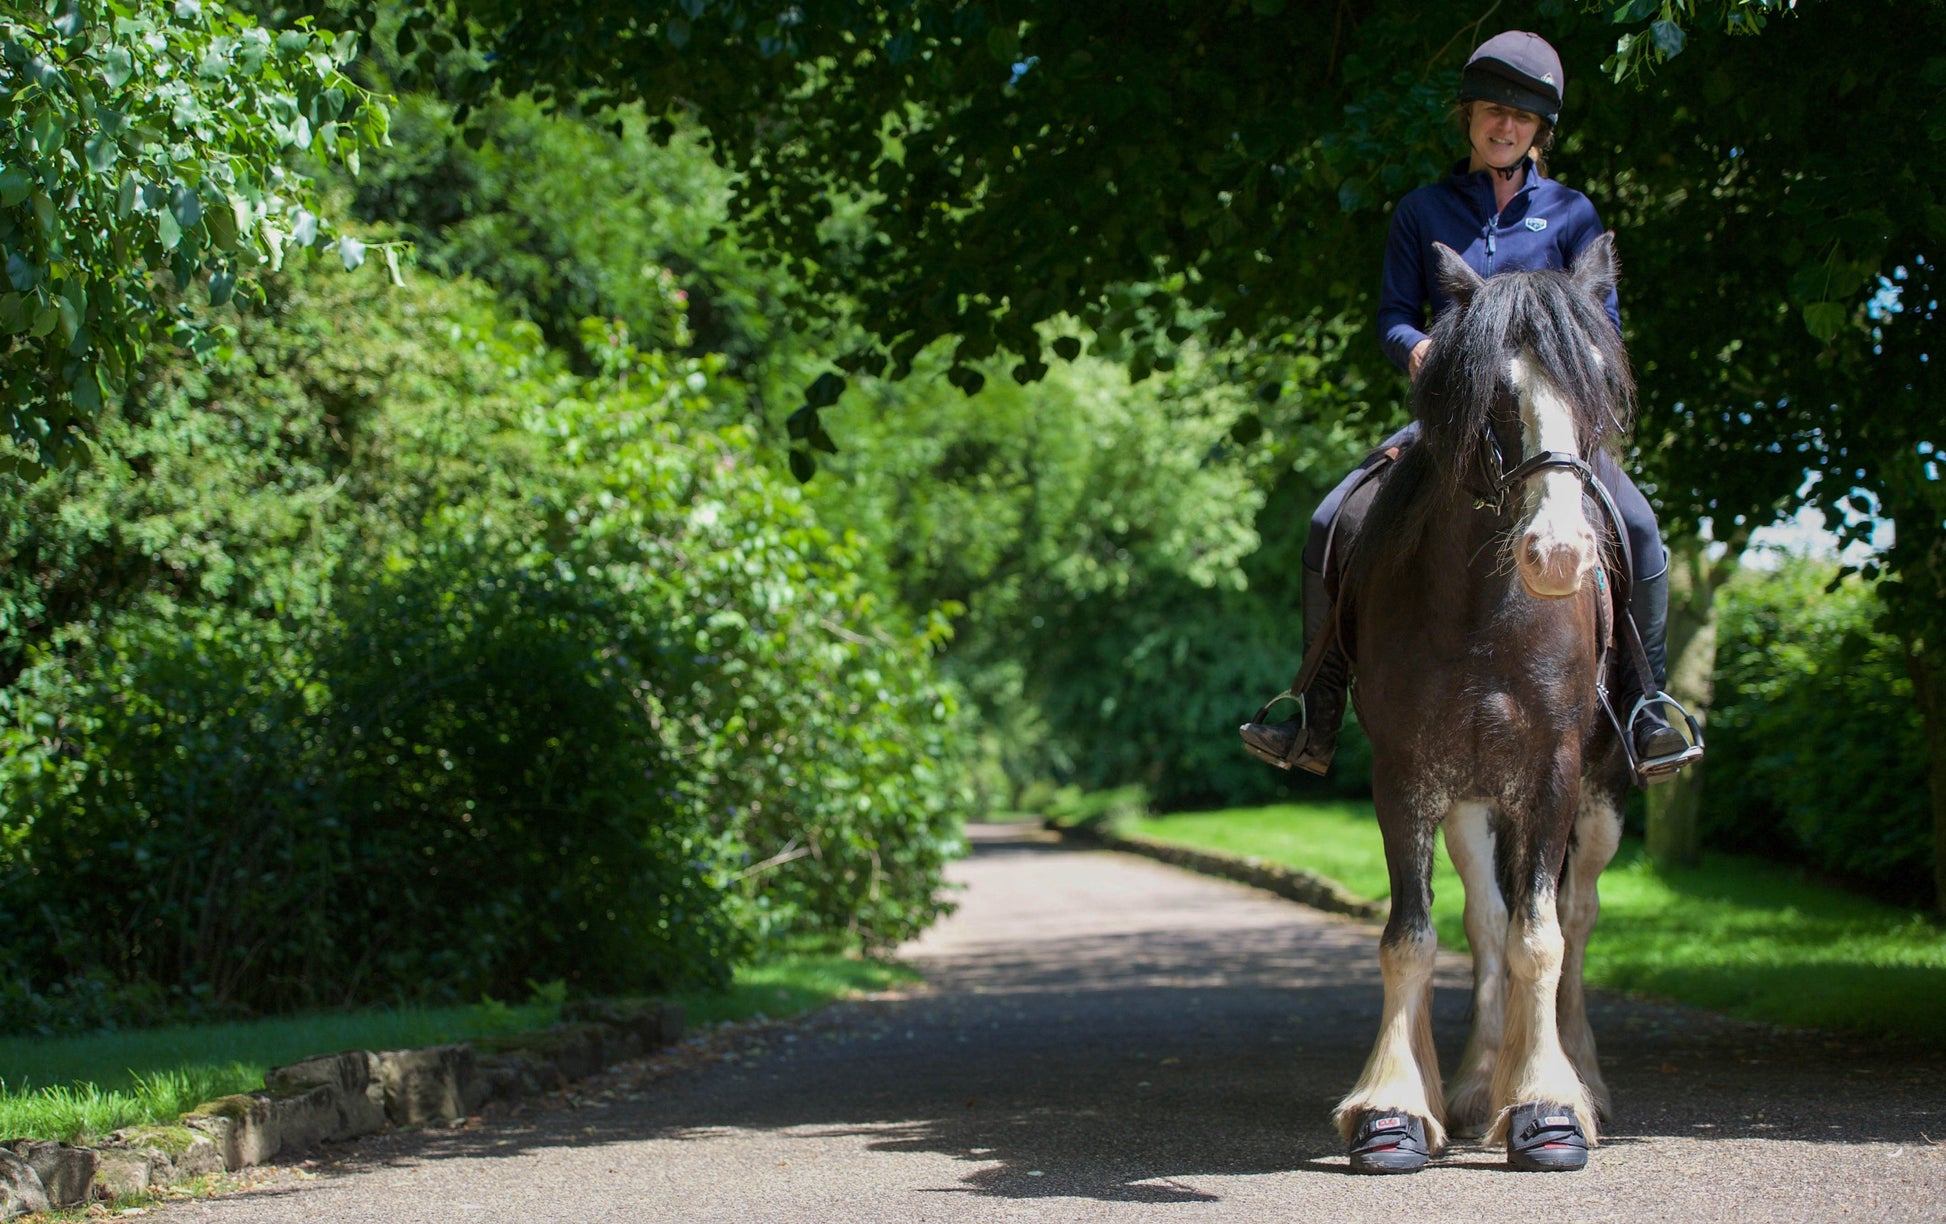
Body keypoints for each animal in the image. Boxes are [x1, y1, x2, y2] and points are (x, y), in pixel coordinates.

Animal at [1331, 238, 1634, 1175]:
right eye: (1494, 394)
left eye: (1598, 386)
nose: (1560, 553)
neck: (1478, 607)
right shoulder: (1405, 776)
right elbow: (1415, 937)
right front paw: (1395, 1108)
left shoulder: (1553, 773)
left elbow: (1545, 937)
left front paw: (1547, 1106)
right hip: (1467, 800)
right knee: (1487, 920)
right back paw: (1472, 1084)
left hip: (1600, 802)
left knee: (1575, 915)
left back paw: (1584, 1077)